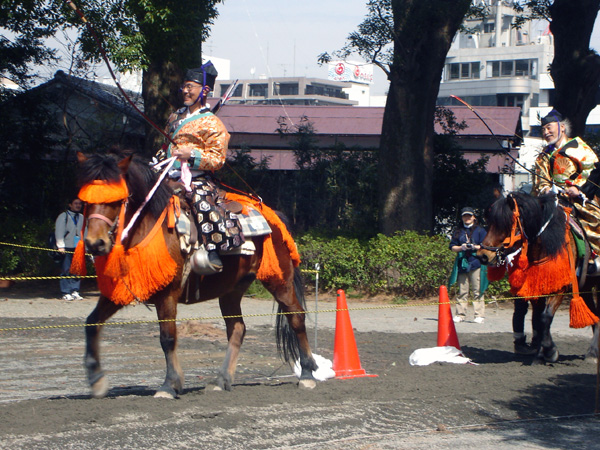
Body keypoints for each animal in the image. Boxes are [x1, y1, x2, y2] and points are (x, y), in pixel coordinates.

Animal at [75, 151, 318, 398]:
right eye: (85, 201)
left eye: (116, 200)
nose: (95, 244)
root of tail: (273, 216)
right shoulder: (120, 290)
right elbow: (92, 322)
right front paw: (96, 379)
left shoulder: (167, 294)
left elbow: (167, 337)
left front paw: (169, 384)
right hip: (231, 290)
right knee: (237, 328)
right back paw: (222, 379)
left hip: (279, 280)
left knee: (296, 317)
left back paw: (308, 374)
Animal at [479, 191, 599, 364]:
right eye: (490, 223)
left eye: (506, 224)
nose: (482, 255)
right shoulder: (538, 287)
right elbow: (538, 320)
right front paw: (542, 353)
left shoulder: (561, 288)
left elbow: (545, 317)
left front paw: (550, 351)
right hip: (586, 287)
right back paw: (592, 352)